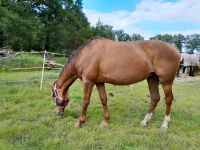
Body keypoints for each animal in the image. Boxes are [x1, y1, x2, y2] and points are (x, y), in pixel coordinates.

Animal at [50, 36, 180, 129]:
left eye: (53, 96)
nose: (57, 113)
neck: (86, 55)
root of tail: (176, 50)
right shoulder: (99, 82)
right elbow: (104, 99)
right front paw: (105, 121)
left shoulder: (88, 82)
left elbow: (85, 102)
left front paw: (80, 123)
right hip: (152, 78)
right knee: (155, 98)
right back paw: (145, 121)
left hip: (166, 81)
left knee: (168, 99)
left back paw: (164, 124)